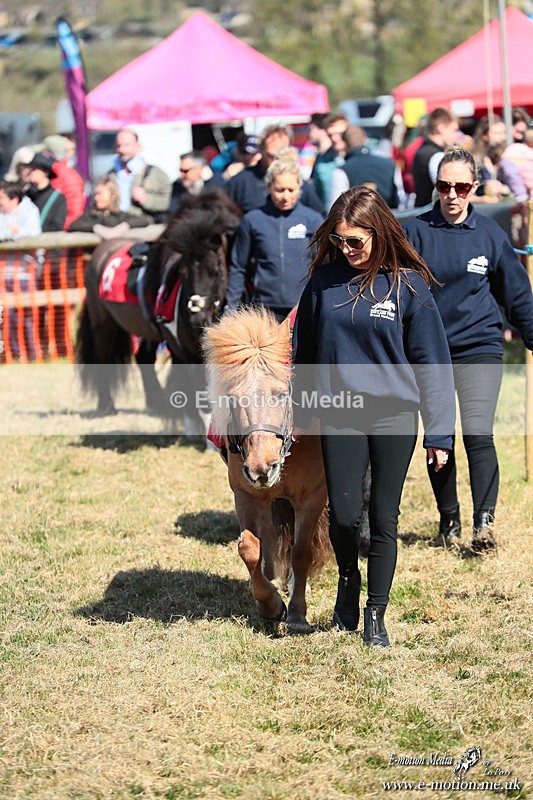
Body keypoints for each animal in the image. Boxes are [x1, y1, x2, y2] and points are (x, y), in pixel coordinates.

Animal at [75, 190, 242, 424]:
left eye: (216, 271)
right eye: (182, 272)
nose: (197, 319)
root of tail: (99, 252)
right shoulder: (184, 348)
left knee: (144, 358)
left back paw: (157, 404)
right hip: (103, 323)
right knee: (103, 356)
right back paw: (106, 406)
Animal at [203, 307, 331, 633]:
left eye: (281, 394)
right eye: (232, 398)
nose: (262, 469)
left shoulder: (312, 498)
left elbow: (301, 552)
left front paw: (297, 615)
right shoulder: (246, 494)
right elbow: (249, 547)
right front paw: (271, 604)